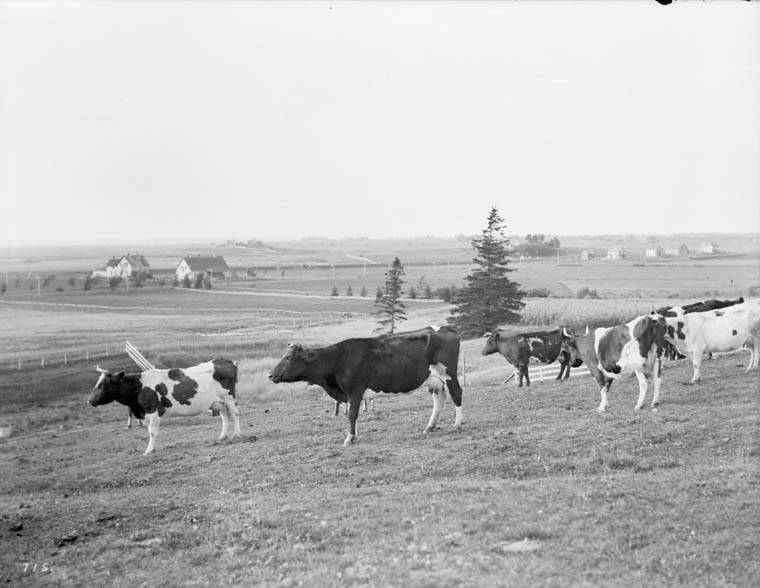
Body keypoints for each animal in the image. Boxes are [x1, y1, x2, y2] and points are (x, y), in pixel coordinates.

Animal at [88, 358, 240, 454]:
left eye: (101, 385)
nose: (89, 401)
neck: (140, 386)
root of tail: (224, 360)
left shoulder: (153, 410)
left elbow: (152, 432)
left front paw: (149, 450)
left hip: (229, 398)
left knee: (235, 414)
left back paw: (236, 435)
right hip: (219, 402)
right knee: (225, 417)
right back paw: (222, 437)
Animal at [268, 326, 463, 445]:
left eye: (289, 357)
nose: (270, 375)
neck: (339, 358)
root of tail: (444, 328)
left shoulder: (355, 389)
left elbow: (352, 414)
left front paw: (349, 438)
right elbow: (353, 414)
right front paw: (354, 435)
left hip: (449, 375)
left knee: (457, 394)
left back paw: (457, 425)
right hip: (435, 381)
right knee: (439, 399)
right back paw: (430, 427)